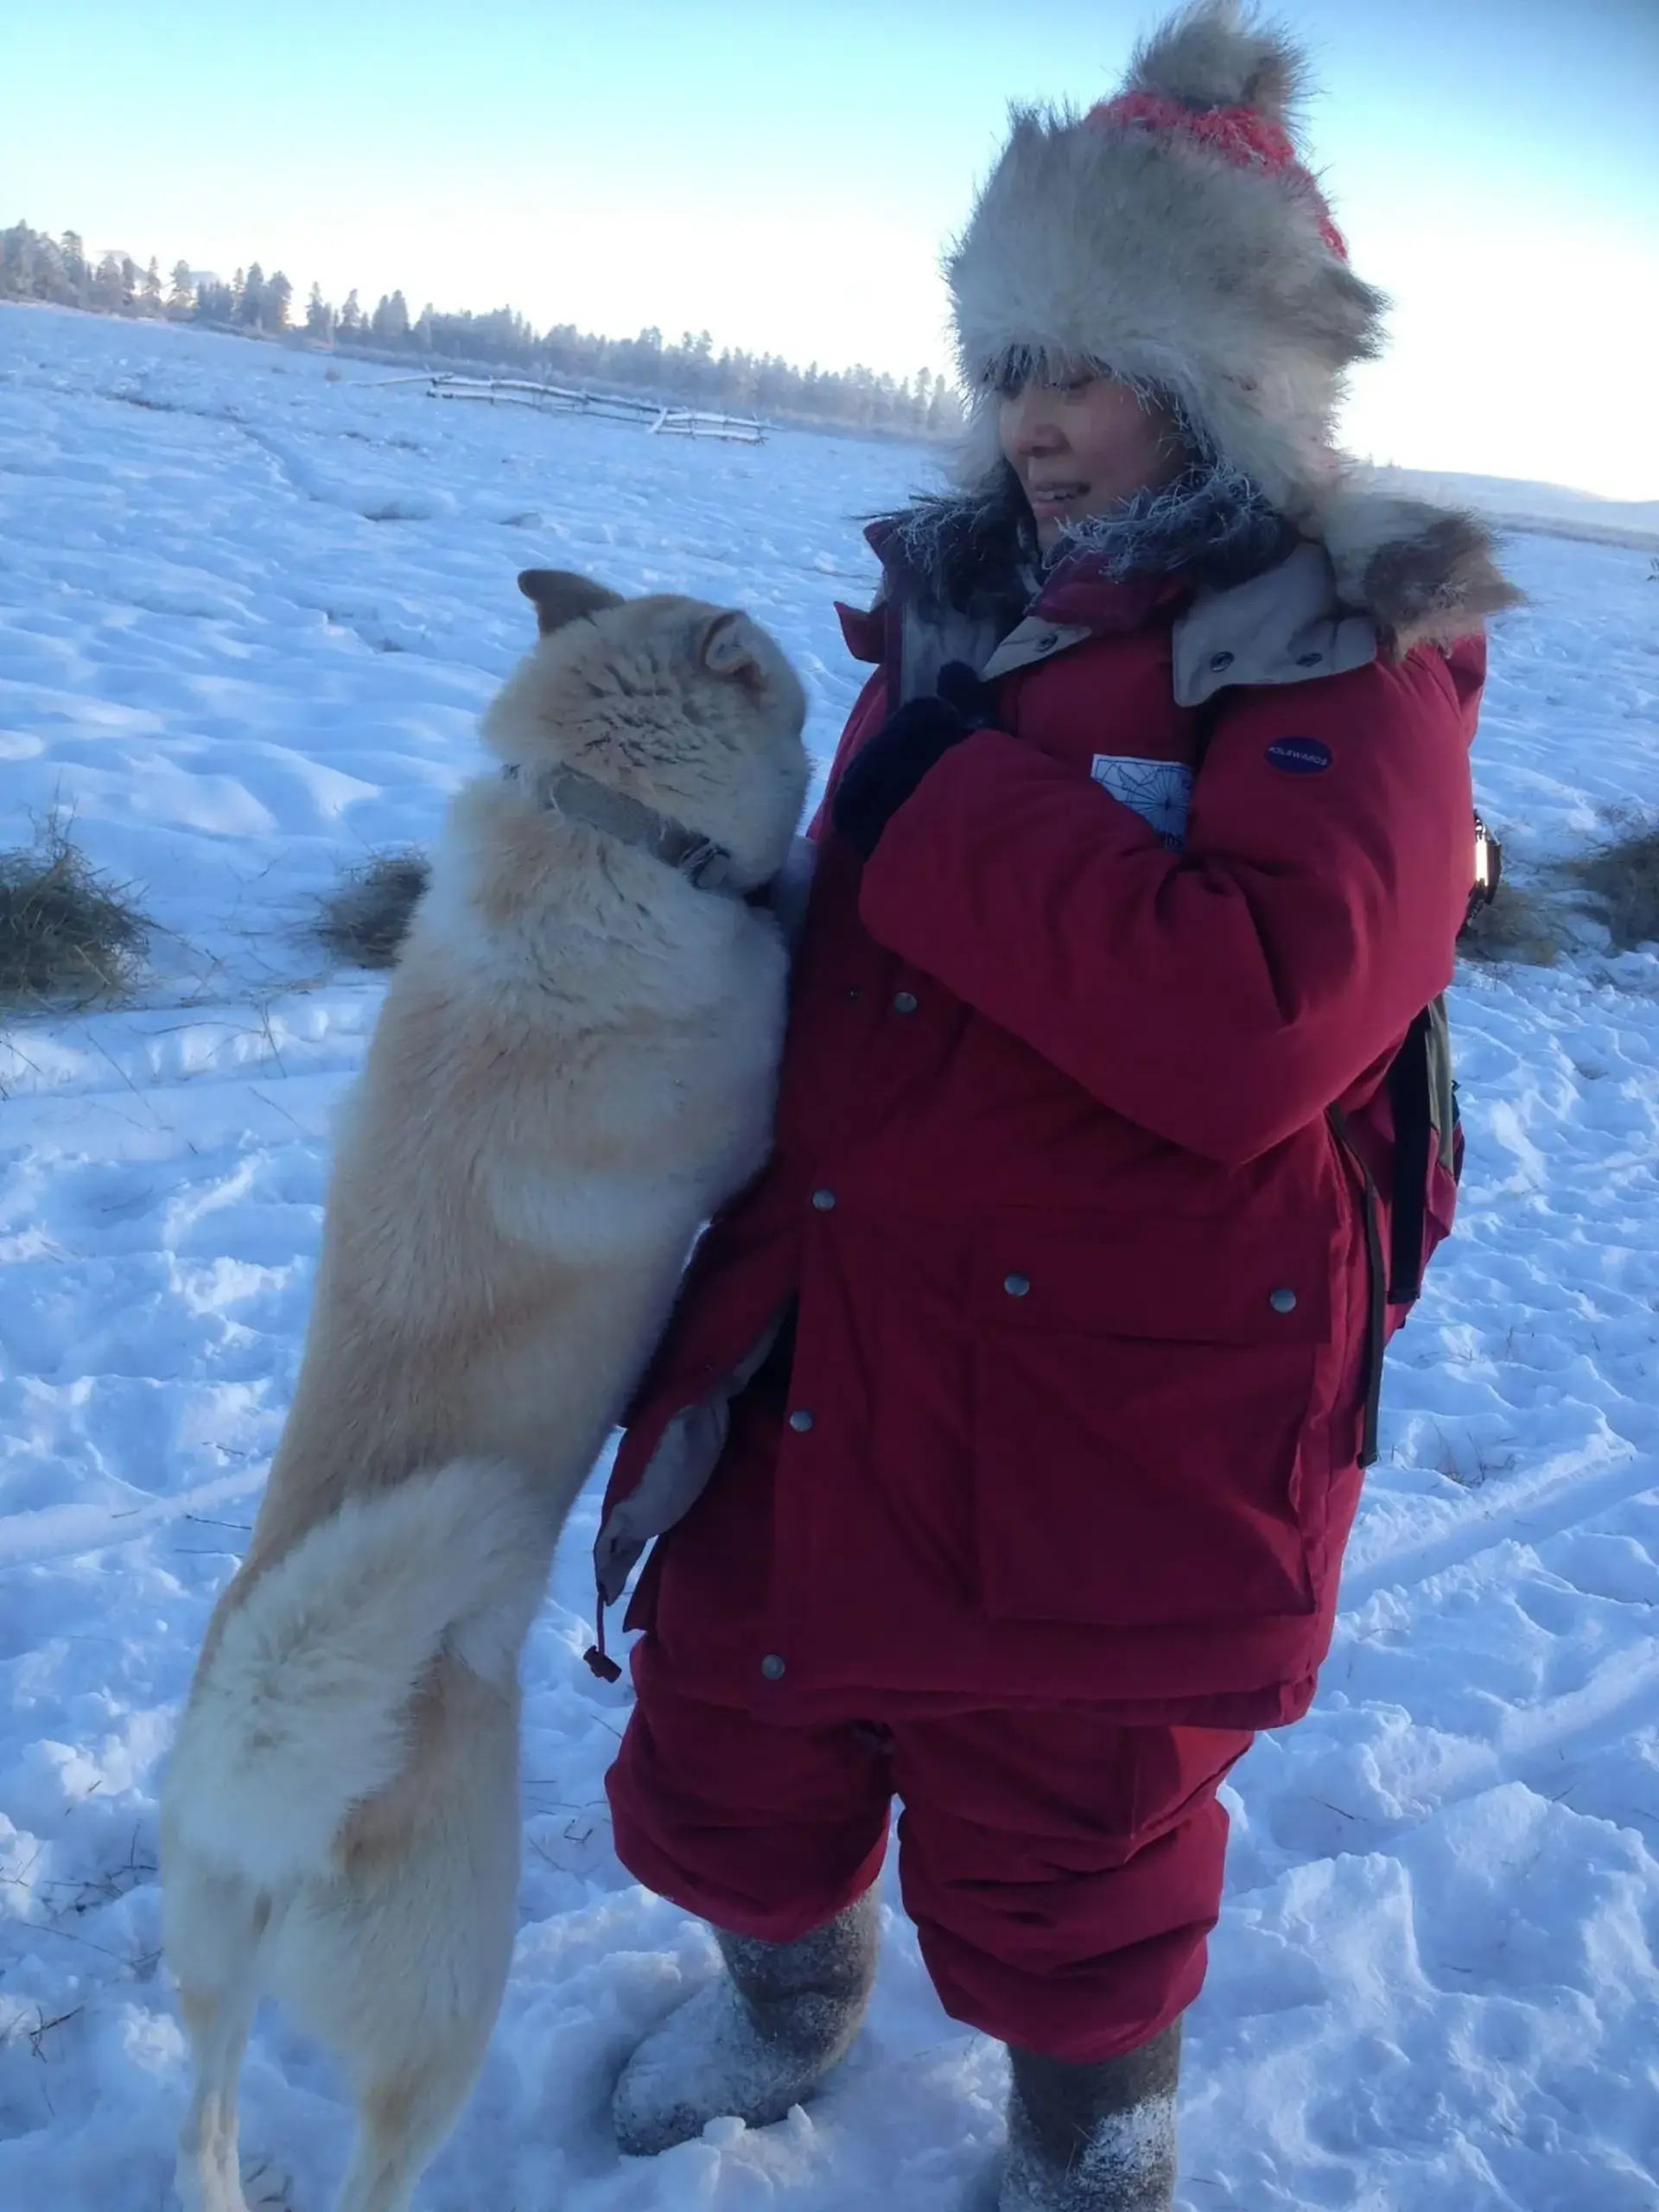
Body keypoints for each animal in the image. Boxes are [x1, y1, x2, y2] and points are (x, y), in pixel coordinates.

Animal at [162, 575, 814, 2212]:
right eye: (789, 691)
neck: (597, 830)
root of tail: (269, 1780)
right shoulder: (752, 1086)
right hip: (448, 2003)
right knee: (376, 2168)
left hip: (207, 1960)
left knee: (203, 2115)